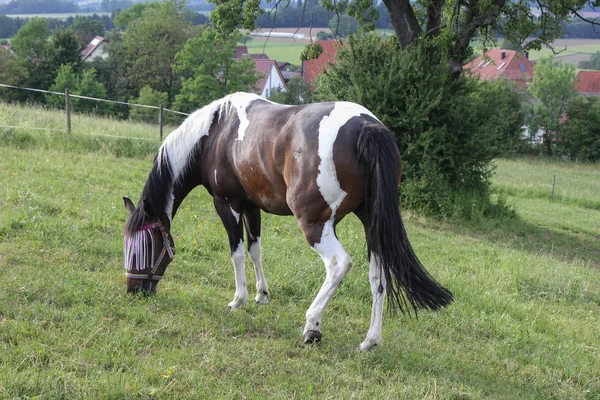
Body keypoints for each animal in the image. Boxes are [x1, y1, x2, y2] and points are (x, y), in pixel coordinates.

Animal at [124, 91, 452, 350]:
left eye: (144, 245)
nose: (134, 291)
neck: (216, 132)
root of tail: (366, 125)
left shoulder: (227, 205)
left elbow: (237, 253)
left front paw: (239, 300)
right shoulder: (251, 206)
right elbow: (255, 250)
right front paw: (261, 295)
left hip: (315, 225)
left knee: (339, 265)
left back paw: (312, 327)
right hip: (371, 223)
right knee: (378, 277)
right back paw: (369, 341)